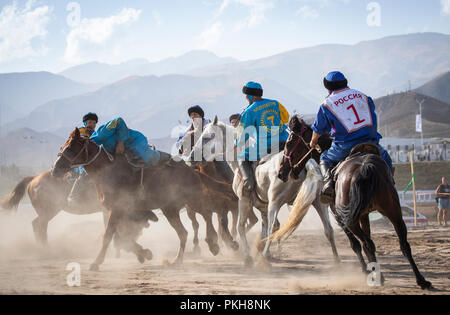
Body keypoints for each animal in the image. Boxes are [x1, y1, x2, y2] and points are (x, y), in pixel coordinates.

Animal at [51, 128, 239, 272]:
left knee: (207, 214)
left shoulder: (117, 209)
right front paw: (145, 254)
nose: (55, 169)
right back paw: (177, 260)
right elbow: (122, 238)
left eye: (70, 148)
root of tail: (192, 170)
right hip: (170, 209)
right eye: (62, 146)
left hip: (192, 200)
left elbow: (109, 236)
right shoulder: (119, 211)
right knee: (184, 232)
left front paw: (95, 263)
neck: (108, 170)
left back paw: (214, 243)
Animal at [186, 117, 338, 268]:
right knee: (328, 230)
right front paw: (265, 252)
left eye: (208, 136)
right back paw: (337, 260)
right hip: (318, 202)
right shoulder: (263, 207)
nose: (191, 157)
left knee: (272, 229)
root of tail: (306, 163)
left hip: (275, 203)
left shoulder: (243, 200)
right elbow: (263, 228)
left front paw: (248, 257)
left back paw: (263, 259)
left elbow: (241, 226)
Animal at [270, 115, 432, 292]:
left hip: (351, 219)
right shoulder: (364, 215)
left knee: (367, 243)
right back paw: (421, 280)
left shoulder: (339, 215)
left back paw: (379, 277)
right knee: (403, 245)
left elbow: (355, 244)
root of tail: (365, 167)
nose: (282, 172)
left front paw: (366, 270)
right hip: (394, 213)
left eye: (288, 143)